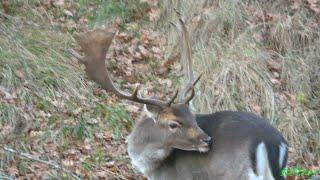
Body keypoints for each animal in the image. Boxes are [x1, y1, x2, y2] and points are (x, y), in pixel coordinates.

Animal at [71, 15, 288, 180]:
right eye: (174, 123)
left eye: (192, 118)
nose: (208, 141)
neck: (150, 165)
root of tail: (271, 143)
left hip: (236, 174)